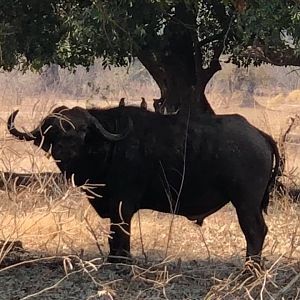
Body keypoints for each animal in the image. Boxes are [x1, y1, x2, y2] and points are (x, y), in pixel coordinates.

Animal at [7, 105, 278, 262]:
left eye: (83, 130)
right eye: (54, 130)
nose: (65, 150)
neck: (109, 148)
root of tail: (259, 135)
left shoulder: (122, 203)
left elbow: (120, 232)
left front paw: (120, 260)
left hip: (246, 203)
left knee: (255, 231)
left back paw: (250, 267)